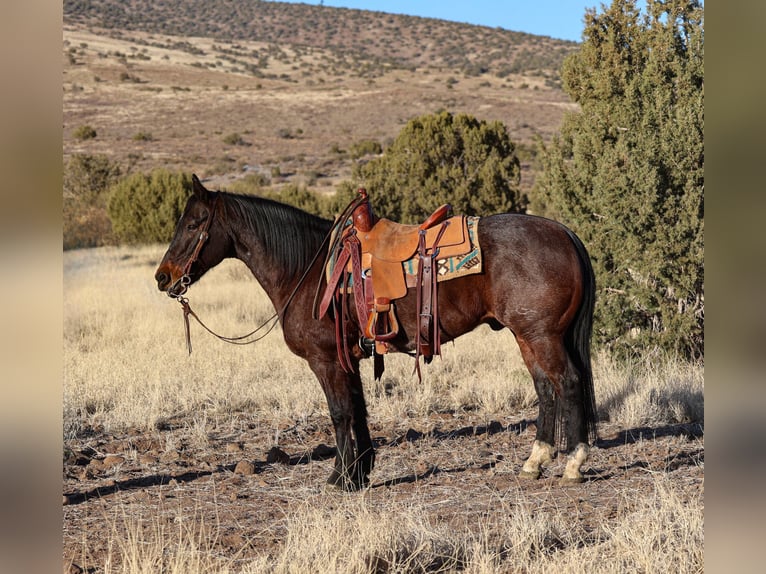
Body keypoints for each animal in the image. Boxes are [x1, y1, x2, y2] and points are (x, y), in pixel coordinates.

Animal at [154, 178, 600, 492]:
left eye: (193, 223)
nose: (163, 277)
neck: (308, 269)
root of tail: (565, 233)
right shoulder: (348, 358)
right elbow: (358, 410)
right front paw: (361, 471)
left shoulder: (326, 360)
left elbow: (339, 413)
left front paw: (340, 478)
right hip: (528, 337)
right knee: (545, 388)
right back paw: (534, 462)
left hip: (540, 335)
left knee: (567, 383)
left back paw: (573, 464)